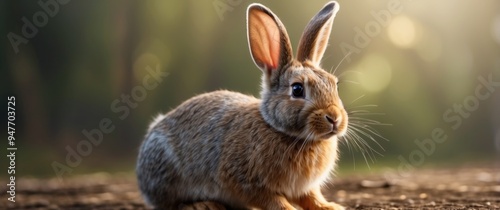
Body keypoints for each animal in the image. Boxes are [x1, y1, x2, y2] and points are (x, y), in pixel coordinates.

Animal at [137, 1, 348, 210]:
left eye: (335, 84)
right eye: (297, 89)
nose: (334, 118)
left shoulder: (305, 188)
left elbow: (312, 198)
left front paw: (331, 207)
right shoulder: (247, 182)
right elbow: (274, 201)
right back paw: (204, 204)